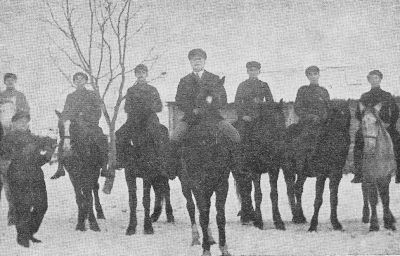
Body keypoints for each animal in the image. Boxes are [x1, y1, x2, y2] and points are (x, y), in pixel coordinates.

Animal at [179, 77, 233, 256]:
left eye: (219, 99)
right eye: (199, 102)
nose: (211, 135)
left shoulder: (222, 183)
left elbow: (220, 216)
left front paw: (224, 248)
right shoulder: (197, 183)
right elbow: (203, 215)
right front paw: (206, 250)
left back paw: (209, 237)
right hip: (185, 183)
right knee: (191, 207)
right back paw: (197, 237)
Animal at [234, 99, 288, 230]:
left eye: (283, 121)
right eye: (270, 122)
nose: (281, 147)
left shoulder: (274, 169)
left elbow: (274, 194)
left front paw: (278, 221)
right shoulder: (255, 171)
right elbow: (258, 195)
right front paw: (258, 221)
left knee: (246, 189)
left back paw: (248, 215)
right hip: (237, 171)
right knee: (244, 190)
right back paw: (247, 216)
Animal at [284, 99, 350, 231]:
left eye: (347, 120)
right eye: (329, 122)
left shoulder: (336, 175)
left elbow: (334, 199)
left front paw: (336, 223)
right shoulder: (321, 174)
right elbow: (318, 200)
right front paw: (313, 225)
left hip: (303, 172)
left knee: (298, 188)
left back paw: (301, 216)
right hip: (288, 169)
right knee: (290, 189)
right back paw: (296, 216)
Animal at [358, 102, 396, 232]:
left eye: (376, 122)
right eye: (363, 122)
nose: (369, 148)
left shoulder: (386, 177)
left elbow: (385, 198)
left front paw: (388, 222)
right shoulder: (370, 177)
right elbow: (373, 198)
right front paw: (374, 224)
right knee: (365, 191)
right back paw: (365, 215)